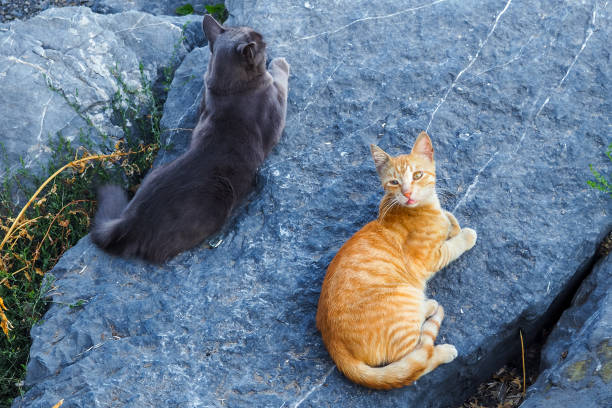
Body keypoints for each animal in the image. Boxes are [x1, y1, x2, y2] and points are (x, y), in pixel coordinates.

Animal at [89, 14, 290, 262]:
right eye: (260, 41)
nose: (265, 38)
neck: (228, 88)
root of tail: (127, 222)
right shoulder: (275, 109)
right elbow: (280, 82)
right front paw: (280, 62)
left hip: (155, 172)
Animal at [316, 132, 478, 390]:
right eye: (394, 182)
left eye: (418, 175)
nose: (408, 193)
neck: (422, 208)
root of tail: (335, 345)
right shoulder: (430, 258)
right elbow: (452, 246)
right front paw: (465, 236)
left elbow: (449, 219)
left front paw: (451, 223)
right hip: (405, 300)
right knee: (417, 361)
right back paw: (439, 341)